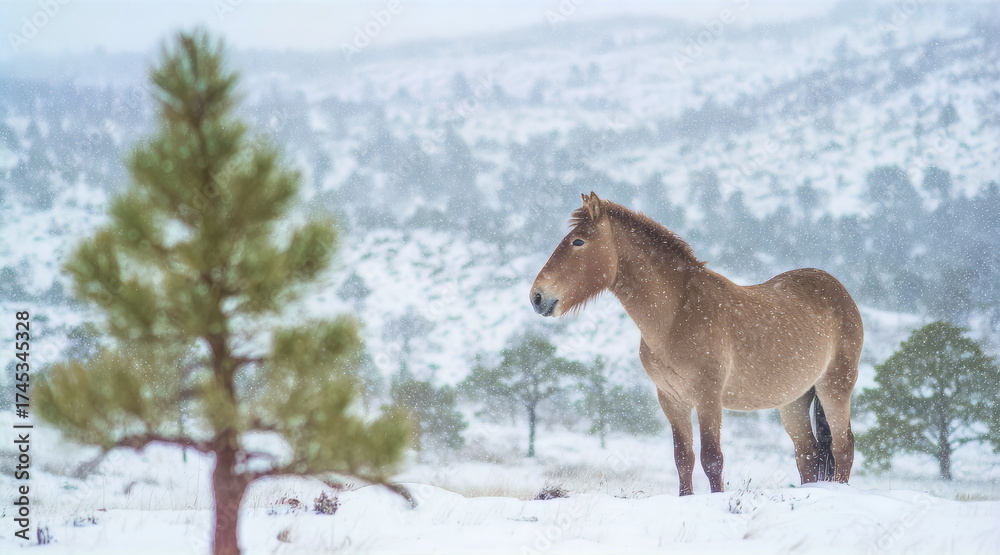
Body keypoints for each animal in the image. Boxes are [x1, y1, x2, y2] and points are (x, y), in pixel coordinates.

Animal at [530, 192, 863, 495]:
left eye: (578, 242)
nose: (537, 297)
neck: (676, 314)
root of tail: (836, 288)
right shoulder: (671, 399)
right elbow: (684, 459)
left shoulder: (707, 397)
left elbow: (712, 459)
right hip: (794, 399)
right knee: (807, 453)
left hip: (835, 385)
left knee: (843, 446)